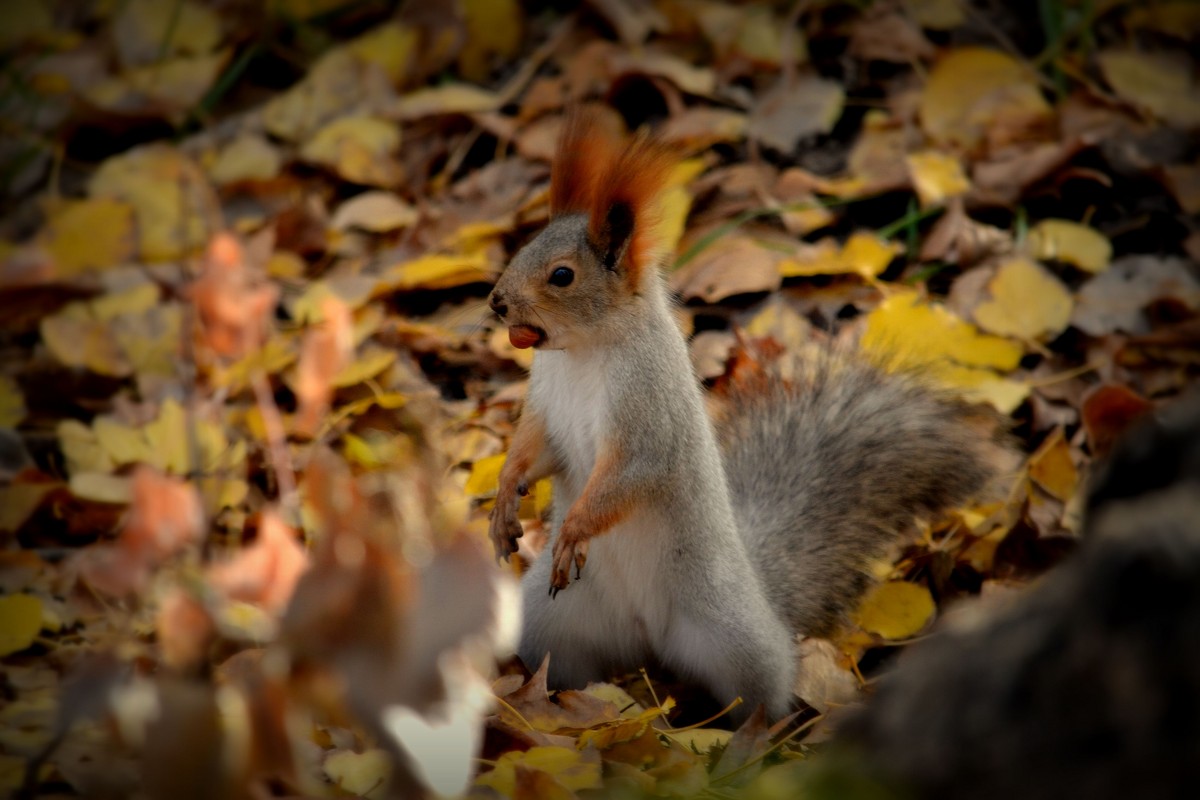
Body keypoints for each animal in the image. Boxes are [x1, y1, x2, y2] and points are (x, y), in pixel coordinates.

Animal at [487, 110, 1012, 719]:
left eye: (562, 276)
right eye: (525, 245)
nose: (496, 302)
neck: (581, 353)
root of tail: (646, 642)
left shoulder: (649, 411)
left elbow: (631, 474)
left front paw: (573, 529)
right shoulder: (548, 405)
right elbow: (534, 451)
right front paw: (504, 499)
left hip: (732, 638)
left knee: (761, 691)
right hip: (550, 619)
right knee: (559, 663)